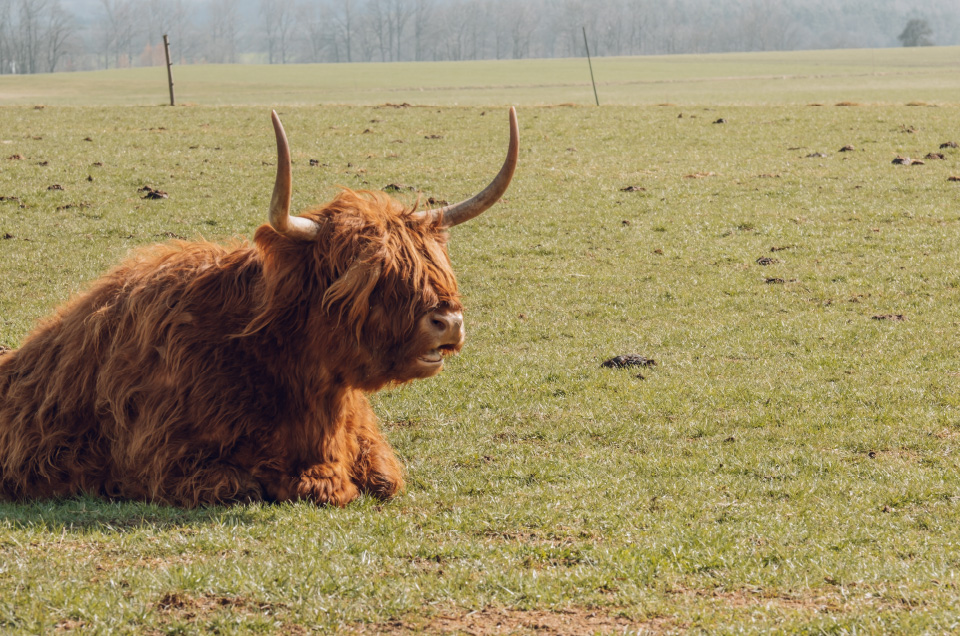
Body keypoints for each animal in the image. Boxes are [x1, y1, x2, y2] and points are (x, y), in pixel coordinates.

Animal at [0, 108, 520, 506]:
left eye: (435, 265)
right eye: (368, 277)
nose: (447, 321)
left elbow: (385, 478)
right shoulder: (160, 459)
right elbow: (250, 482)